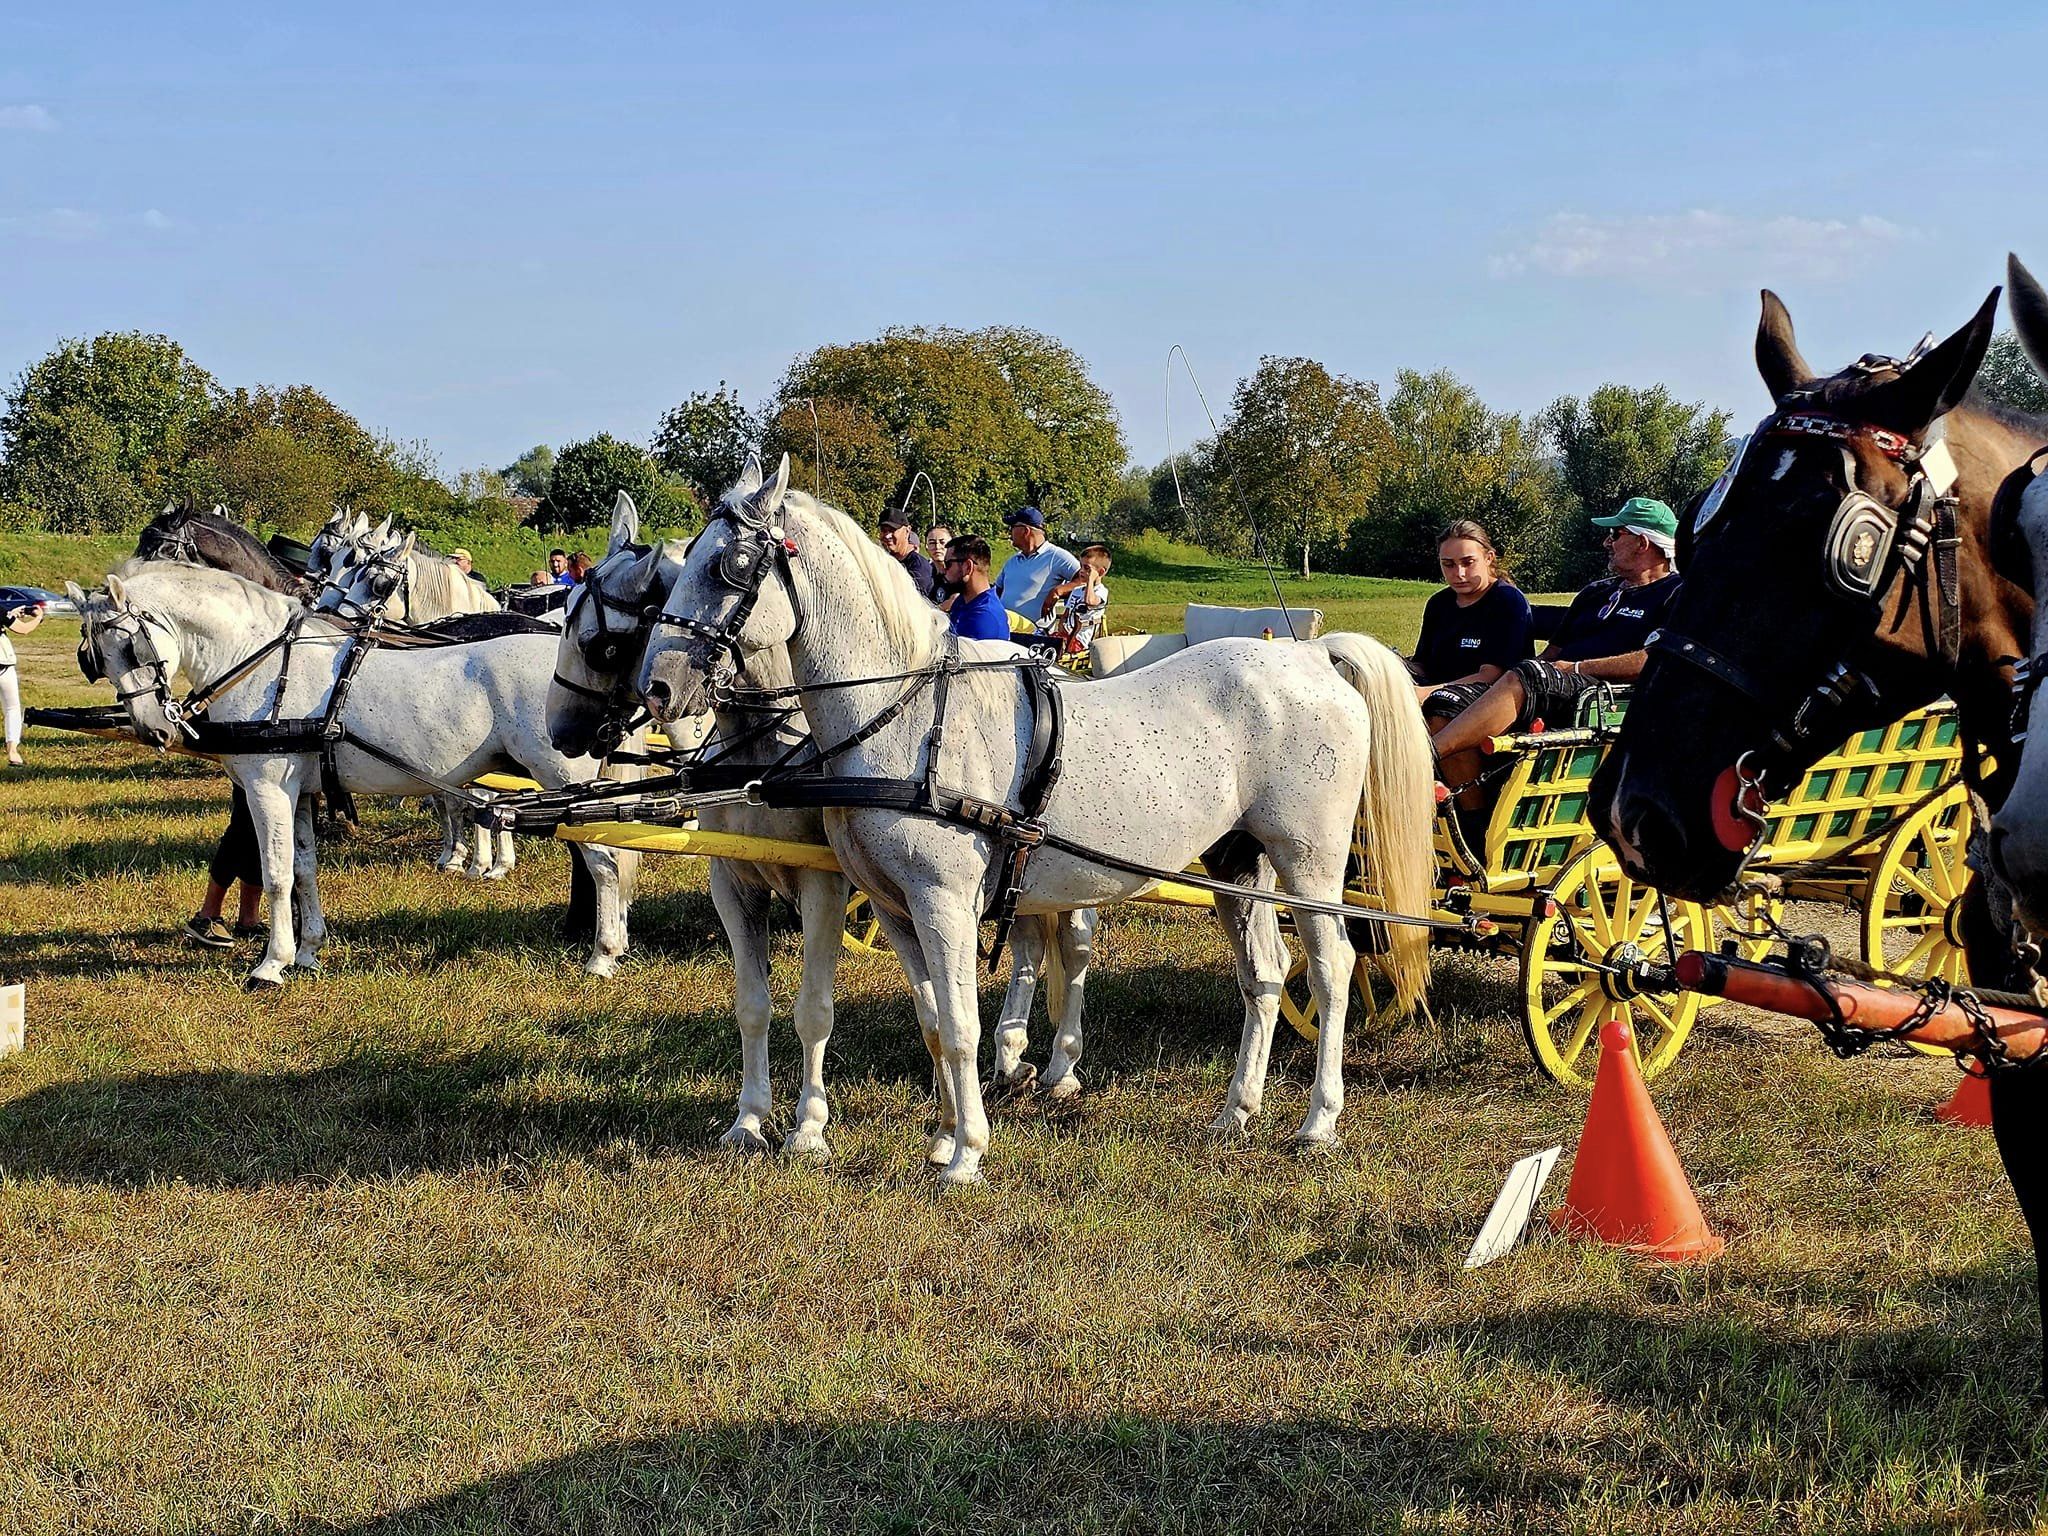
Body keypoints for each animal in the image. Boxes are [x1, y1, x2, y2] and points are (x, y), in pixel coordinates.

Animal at [74, 565, 638, 987]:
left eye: (130, 646)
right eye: (98, 655)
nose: (152, 728)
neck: (262, 662)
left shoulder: (267, 787)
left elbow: (276, 875)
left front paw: (271, 965)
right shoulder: (300, 793)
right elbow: (303, 871)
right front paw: (307, 953)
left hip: (563, 780)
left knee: (604, 863)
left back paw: (602, 953)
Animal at [544, 487, 1089, 1163]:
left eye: (603, 643)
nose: (560, 730)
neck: (764, 750)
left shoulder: (823, 886)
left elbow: (814, 1010)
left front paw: (808, 1128)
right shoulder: (735, 883)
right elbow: (753, 1005)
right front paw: (750, 1119)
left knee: (1071, 944)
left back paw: (1061, 1064)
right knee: (1029, 942)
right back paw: (1012, 1057)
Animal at [630, 450, 1433, 1187]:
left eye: (731, 565)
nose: (657, 688)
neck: (905, 716)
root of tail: (1314, 657)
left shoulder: (942, 900)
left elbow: (961, 1025)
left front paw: (965, 1155)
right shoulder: (893, 909)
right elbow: (932, 1019)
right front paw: (941, 1136)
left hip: (1310, 863)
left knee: (1332, 970)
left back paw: (1318, 1122)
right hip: (1239, 863)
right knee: (1264, 977)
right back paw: (1236, 1111)